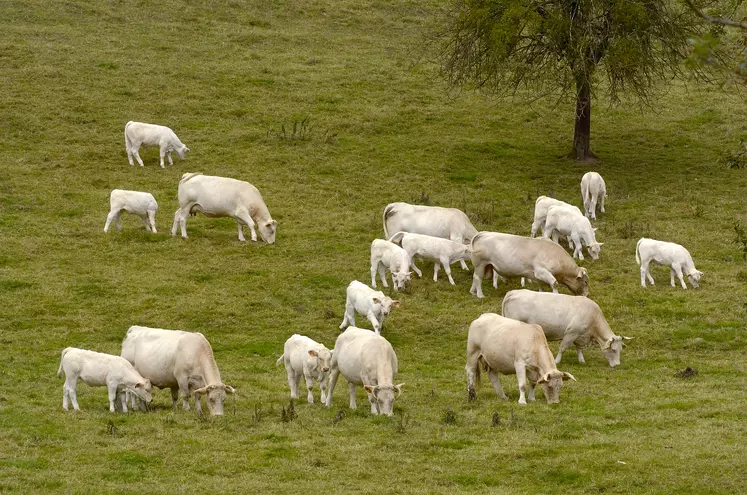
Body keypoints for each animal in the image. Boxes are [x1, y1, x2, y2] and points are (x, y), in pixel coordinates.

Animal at [502, 290, 632, 368]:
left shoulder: (579, 335)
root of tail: (513, 292)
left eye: (620, 349)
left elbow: (579, 348)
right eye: (614, 350)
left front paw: (581, 360)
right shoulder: (571, 333)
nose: (617, 365)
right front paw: (556, 361)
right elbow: (562, 348)